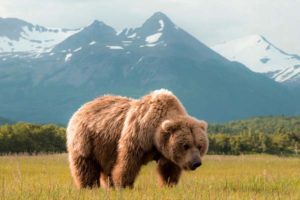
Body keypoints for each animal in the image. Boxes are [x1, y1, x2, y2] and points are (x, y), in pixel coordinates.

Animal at [66, 89, 207, 189]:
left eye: (200, 146)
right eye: (185, 145)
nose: (196, 163)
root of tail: (81, 108)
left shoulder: (165, 150)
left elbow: (168, 167)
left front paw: (169, 184)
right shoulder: (138, 134)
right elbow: (128, 161)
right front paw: (123, 184)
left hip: (104, 147)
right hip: (86, 139)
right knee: (85, 166)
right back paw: (89, 186)